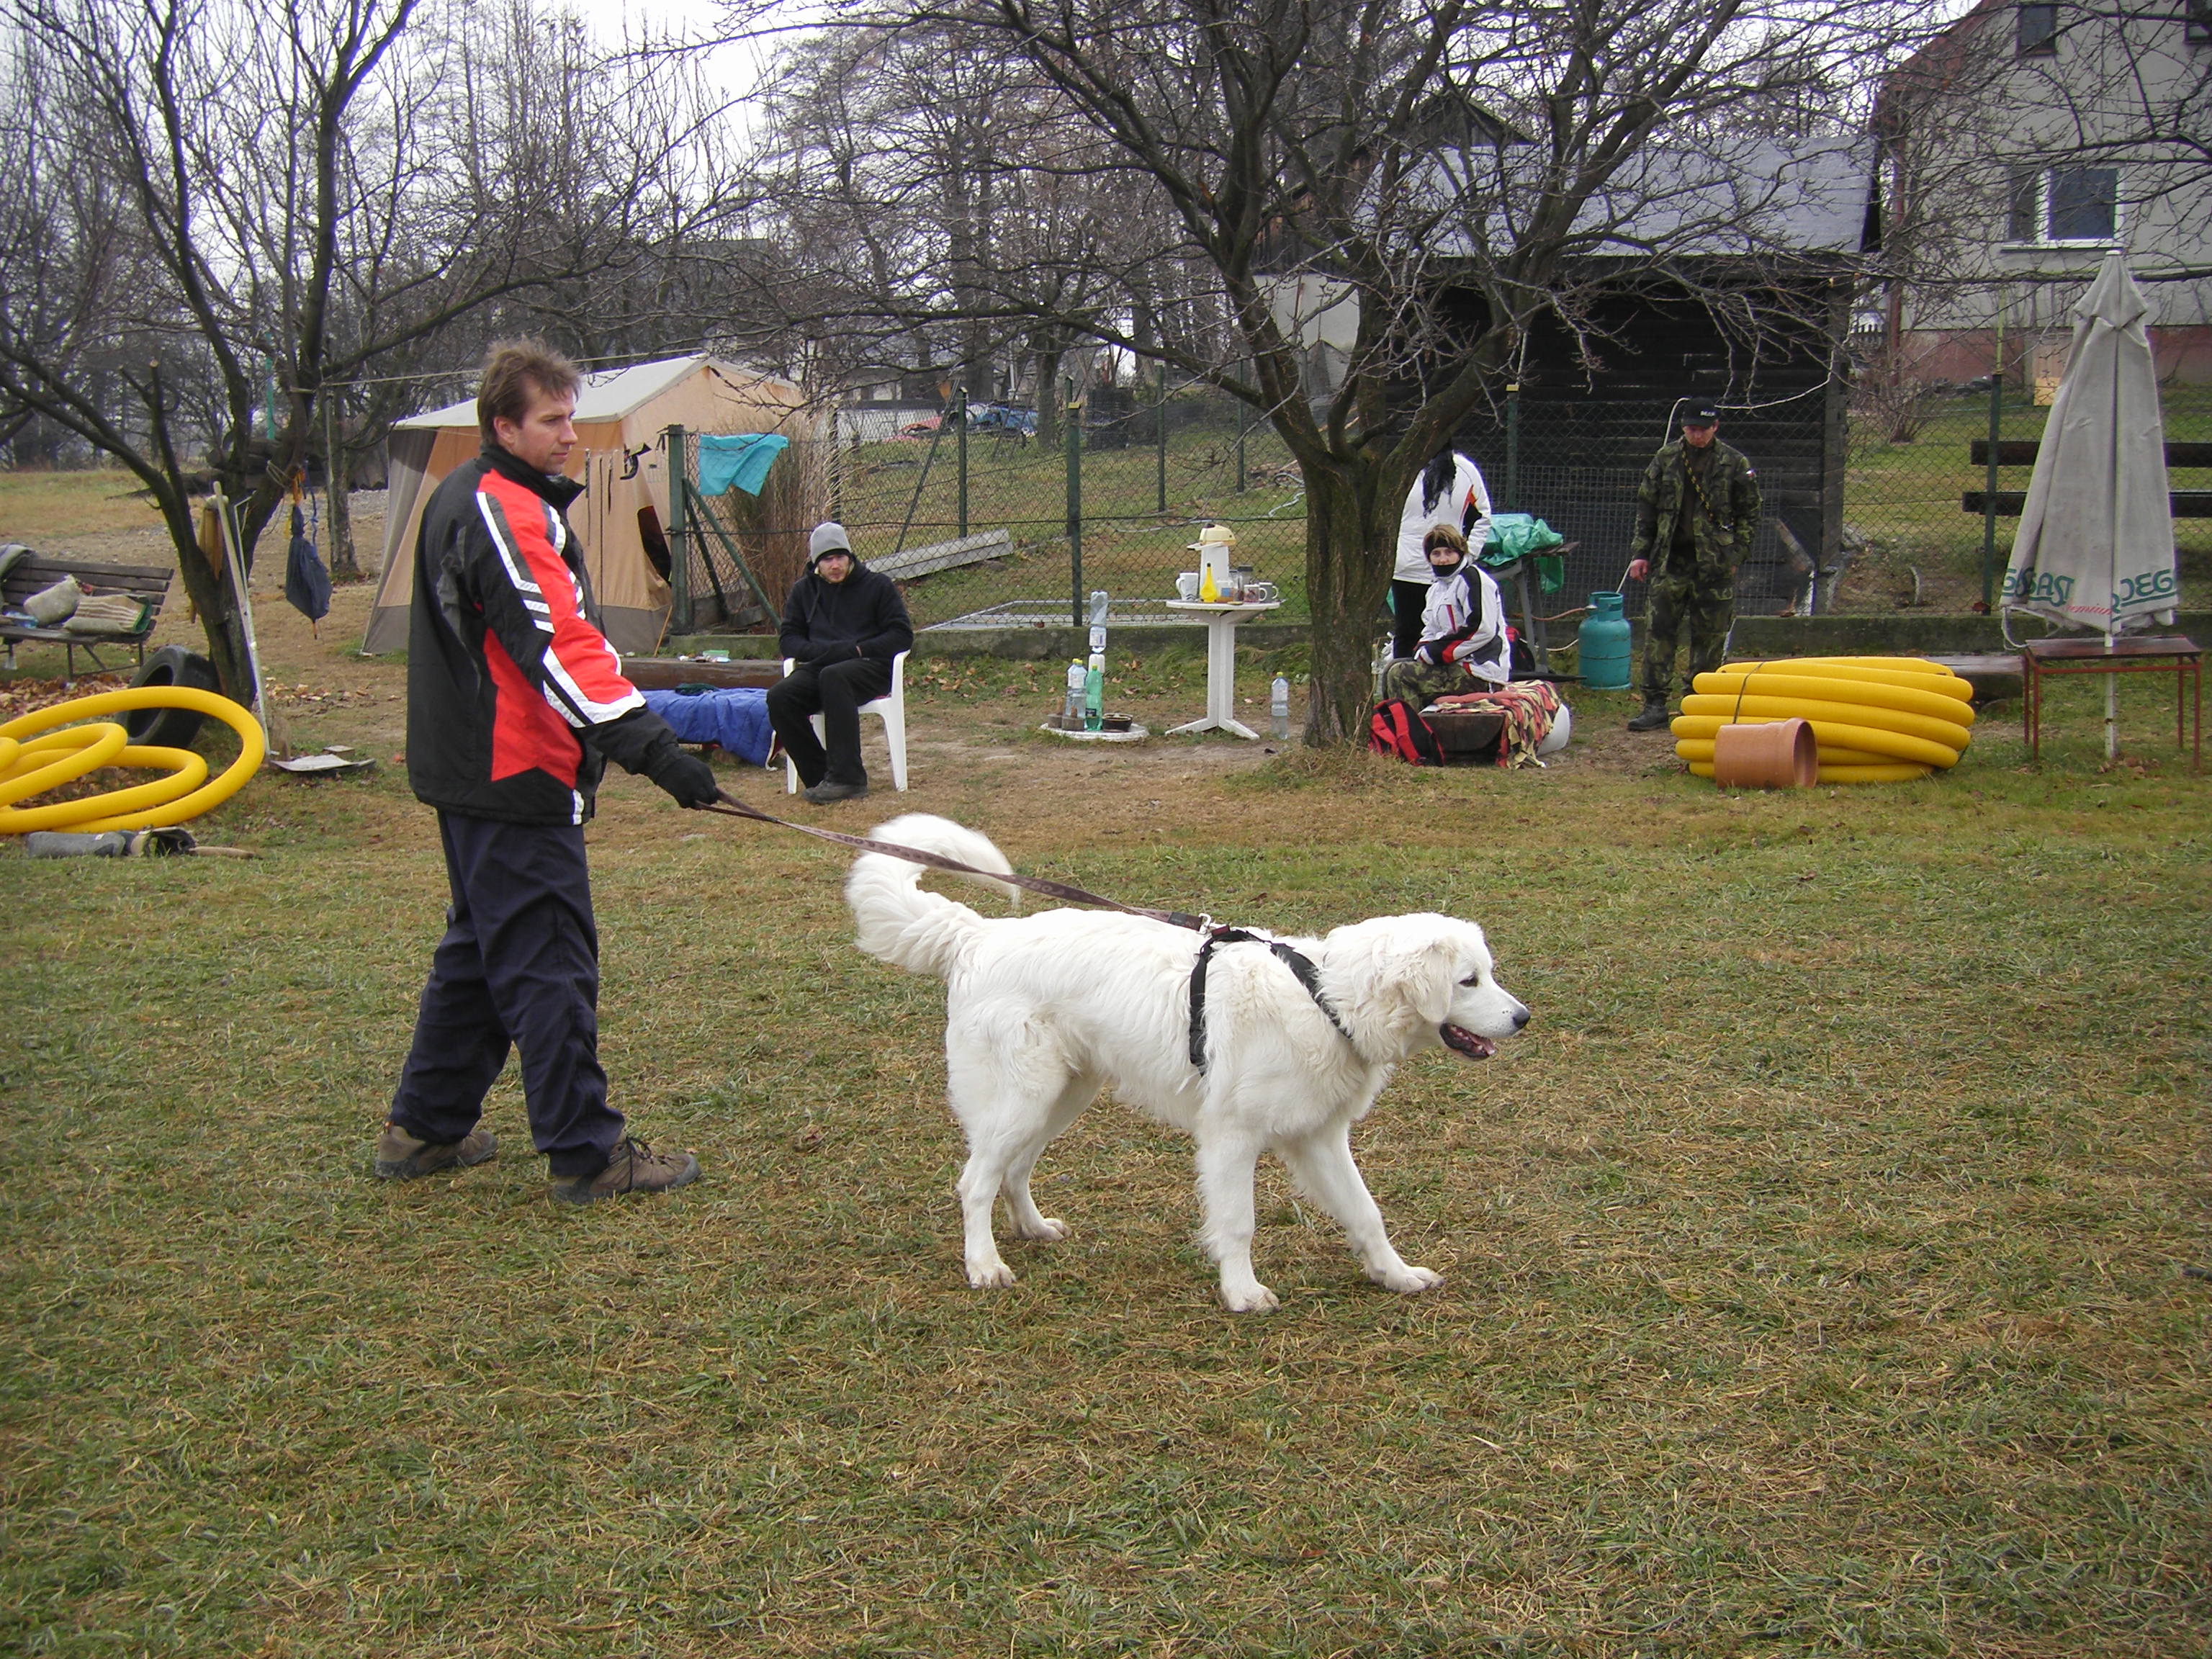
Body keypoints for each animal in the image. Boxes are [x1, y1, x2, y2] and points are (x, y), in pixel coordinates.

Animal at [836, 814, 1530, 1309]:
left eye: (1487, 974)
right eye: (1468, 981)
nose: (1523, 1018)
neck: (1325, 998)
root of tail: (977, 935)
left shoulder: (1320, 1138)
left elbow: (1366, 1213)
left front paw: (1395, 1275)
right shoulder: (1231, 1138)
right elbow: (1240, 1223)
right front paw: (1242, 1293)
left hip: (1060, 1097)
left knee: (1014, 1171)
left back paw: (1033, 1230)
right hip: (1022, 1099)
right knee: (976, 1180)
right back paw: (984, 1265)